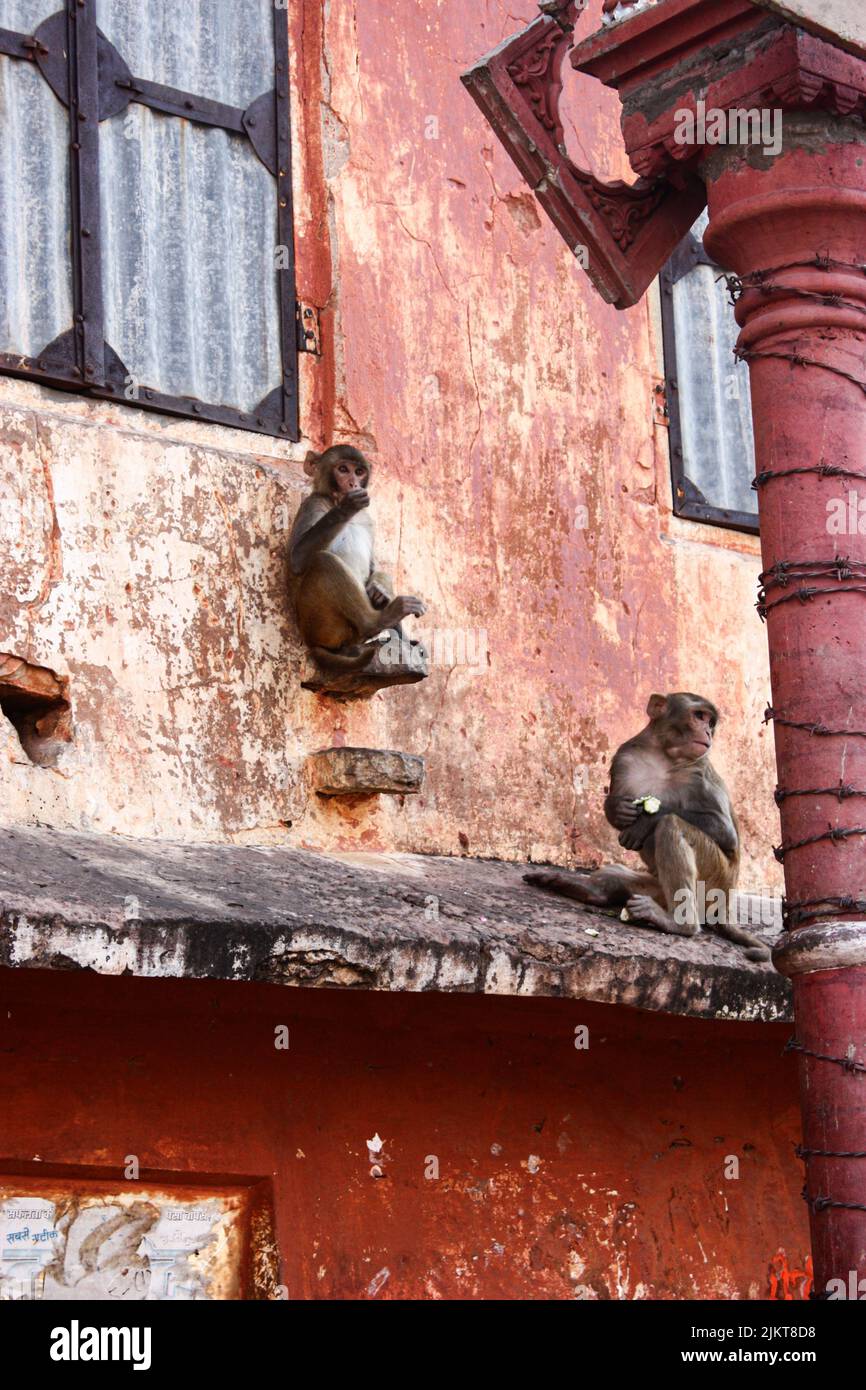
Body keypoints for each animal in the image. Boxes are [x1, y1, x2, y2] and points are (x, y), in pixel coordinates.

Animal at [291, 439, 428, 667]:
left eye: (359, 472)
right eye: (343, 470)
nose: (353, 484)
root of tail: (312, 642)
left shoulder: (368, 519)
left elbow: (374, 566)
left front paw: (380, 586)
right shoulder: (312, 505)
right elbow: (297, 559)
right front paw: (347, 507)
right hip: (320, 624)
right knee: (323, 561)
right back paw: (378, 621)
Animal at [522, 692, 772, 961]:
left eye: (710, 721)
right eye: (699, 716)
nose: (707, 732)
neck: (663, 756)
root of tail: (725, 904)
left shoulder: (699, 773)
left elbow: (725, 832)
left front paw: (647, 820)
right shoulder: (625, 757)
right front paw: (616, 809)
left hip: (716, 880)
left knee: (672, 826)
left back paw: (679, 923)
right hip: (658, 887)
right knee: (620, 877)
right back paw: (586, 887)